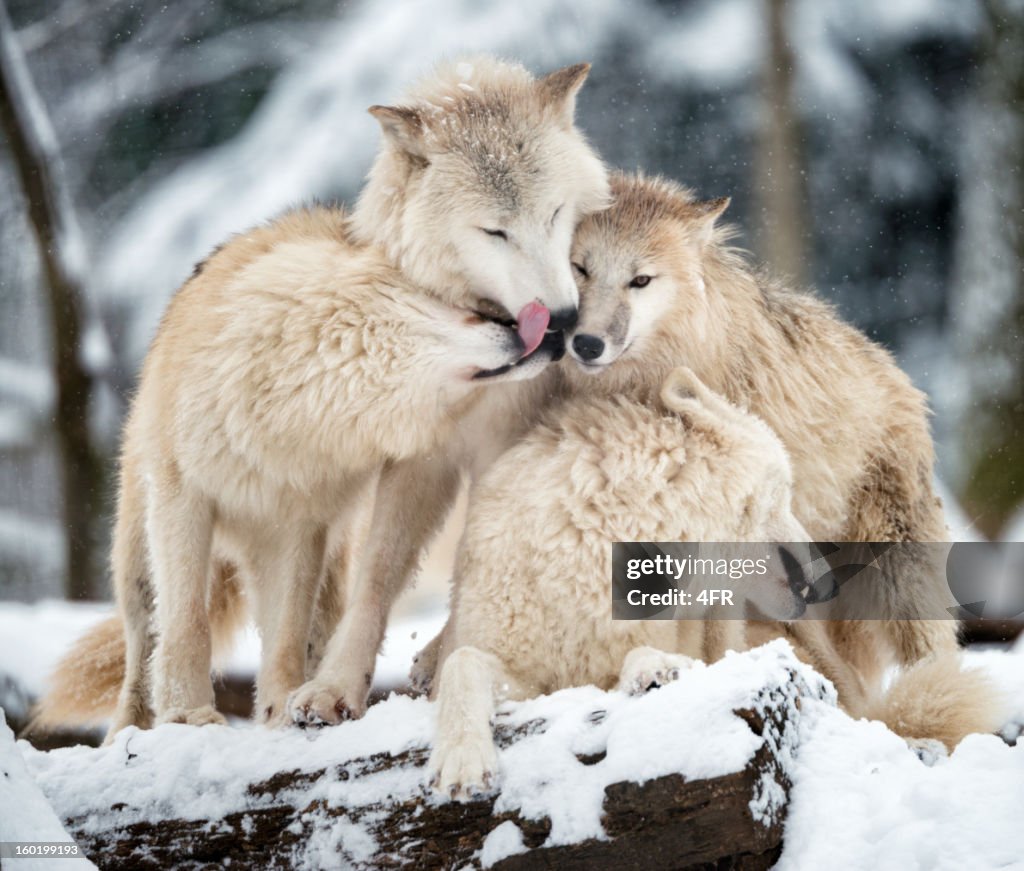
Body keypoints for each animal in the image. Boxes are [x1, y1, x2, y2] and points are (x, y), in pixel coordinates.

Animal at [32, 56, 606, 736]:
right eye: (495, 232)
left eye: (554, 214)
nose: (564, 323)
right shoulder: (412, 460)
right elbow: (348, 586)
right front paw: (221, 712)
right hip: (145, 548)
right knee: (148, 639)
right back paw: (137, 729)